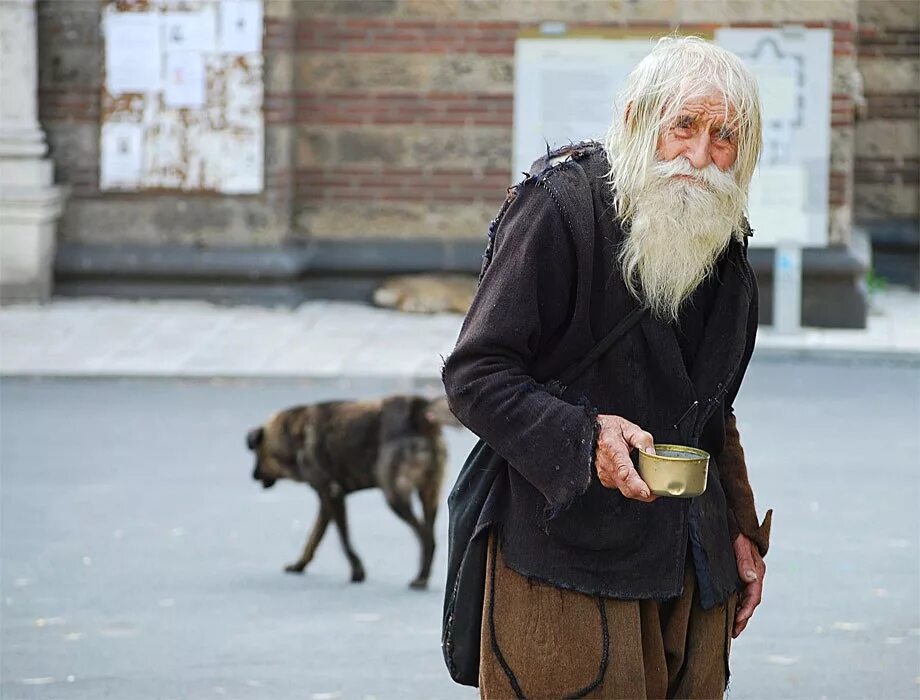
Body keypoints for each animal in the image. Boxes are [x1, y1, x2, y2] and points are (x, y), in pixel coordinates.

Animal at [248, 396, 456, 588]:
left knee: (426, 537)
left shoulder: (333, 494)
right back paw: (424, 576)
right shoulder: (326, 502)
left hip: (395, 496)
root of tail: (418, 408)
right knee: (431, 534)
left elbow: (344, 539)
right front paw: (300, 565)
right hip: (429, 496)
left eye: (257, 454)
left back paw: (421, 578)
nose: (253, 476)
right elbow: (313, 538)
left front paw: (357, 571)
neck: (292, 433)